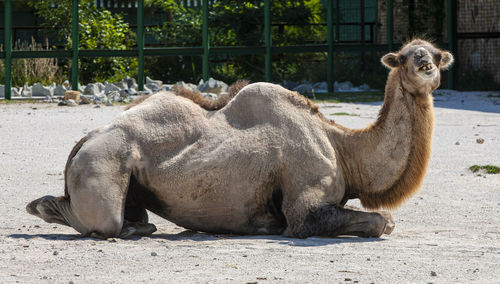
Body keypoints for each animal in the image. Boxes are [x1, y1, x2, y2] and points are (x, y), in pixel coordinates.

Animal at [26, 40, 454, 239]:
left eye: (434, 54)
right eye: (406, 57)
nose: (426, 66)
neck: (343, 148)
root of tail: (83, 140)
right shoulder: (305, 203)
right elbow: (383, 221)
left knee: (133, 217)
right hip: (103, 163)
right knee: (104, 221)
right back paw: (45, 207)